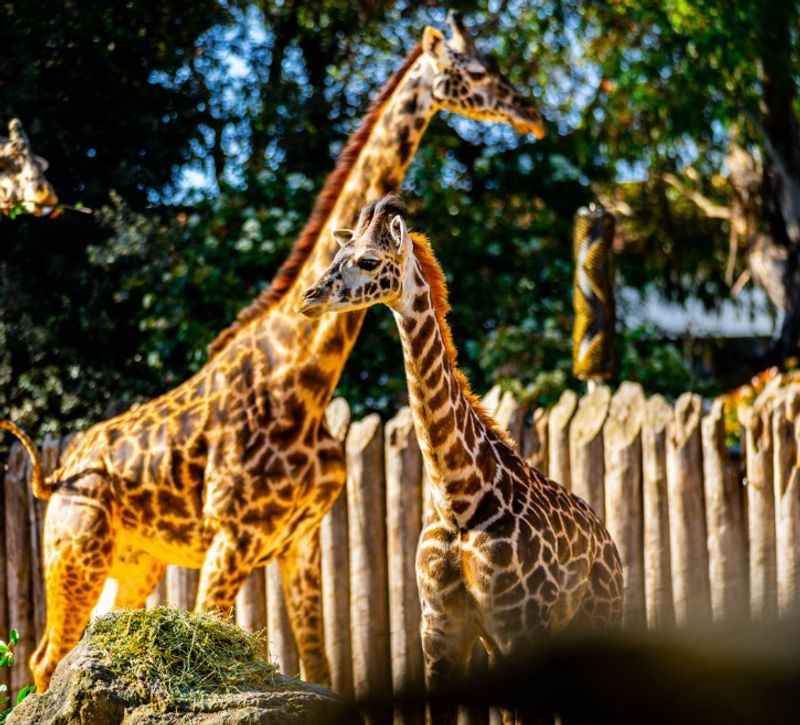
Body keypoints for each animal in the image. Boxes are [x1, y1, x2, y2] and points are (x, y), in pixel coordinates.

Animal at [0, 12, 548, 692]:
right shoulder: (231, 538)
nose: (531, 113)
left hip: (136, 560)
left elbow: (320, 666)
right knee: (45, 657)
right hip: (74, 551)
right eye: (472, 70)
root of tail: (55, 473)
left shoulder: (299, 540)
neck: (306, 376)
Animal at [300, 195, 624, 720]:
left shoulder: (521, 628)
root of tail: (609, 544)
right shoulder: (441, 630)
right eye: (335, 257)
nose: (310, 298)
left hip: (596, 621)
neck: (461, 496)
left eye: (367, 261)